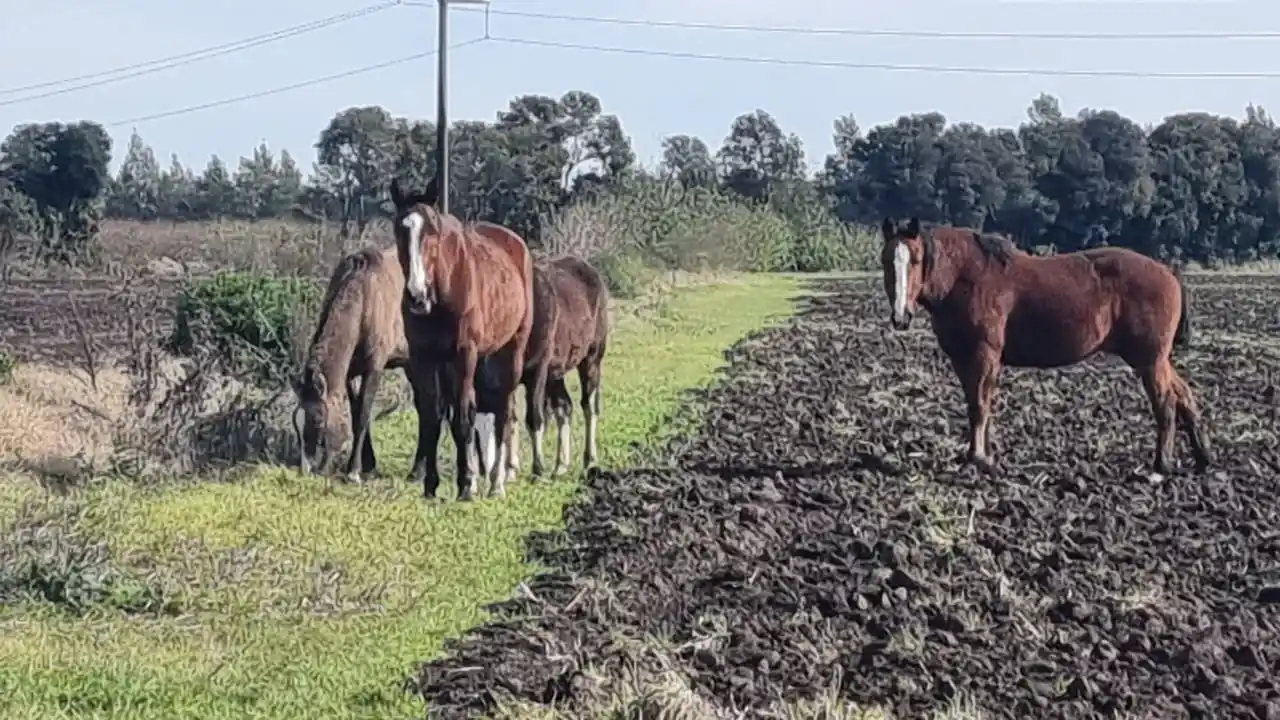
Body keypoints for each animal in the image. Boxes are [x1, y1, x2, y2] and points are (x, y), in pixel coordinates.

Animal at [390, 175, 535, 501]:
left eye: (432, 231)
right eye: (399, 230)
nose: (416, 295)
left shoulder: (463, 354)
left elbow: (462, 418)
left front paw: (467, 484)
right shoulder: (424, 357)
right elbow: (432, 416)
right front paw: (431, 485)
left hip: (511, 351)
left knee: (504, 411)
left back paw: (496, 482)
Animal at [520, 255, 610, 478]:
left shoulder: (536, 371)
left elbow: (535, 417)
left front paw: (537, 469)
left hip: (592, 359)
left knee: (589, 406)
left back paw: (590, 460)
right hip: (555, 373)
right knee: (564, 406)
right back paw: (560, 465)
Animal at [879, 217, 1211, 475]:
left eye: (916, 260)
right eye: (885, 261)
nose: (900, 316)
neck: (966, 277)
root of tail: (1168, 271)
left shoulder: (984, 355)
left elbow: (980, 405)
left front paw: (980, 458)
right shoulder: (962, 358)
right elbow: (976, 404)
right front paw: (981, 453)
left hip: (1149, 361)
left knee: (1165, 403)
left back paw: (1162, 464)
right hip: (1157, 359)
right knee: (1184, 396)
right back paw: (1202, 457)